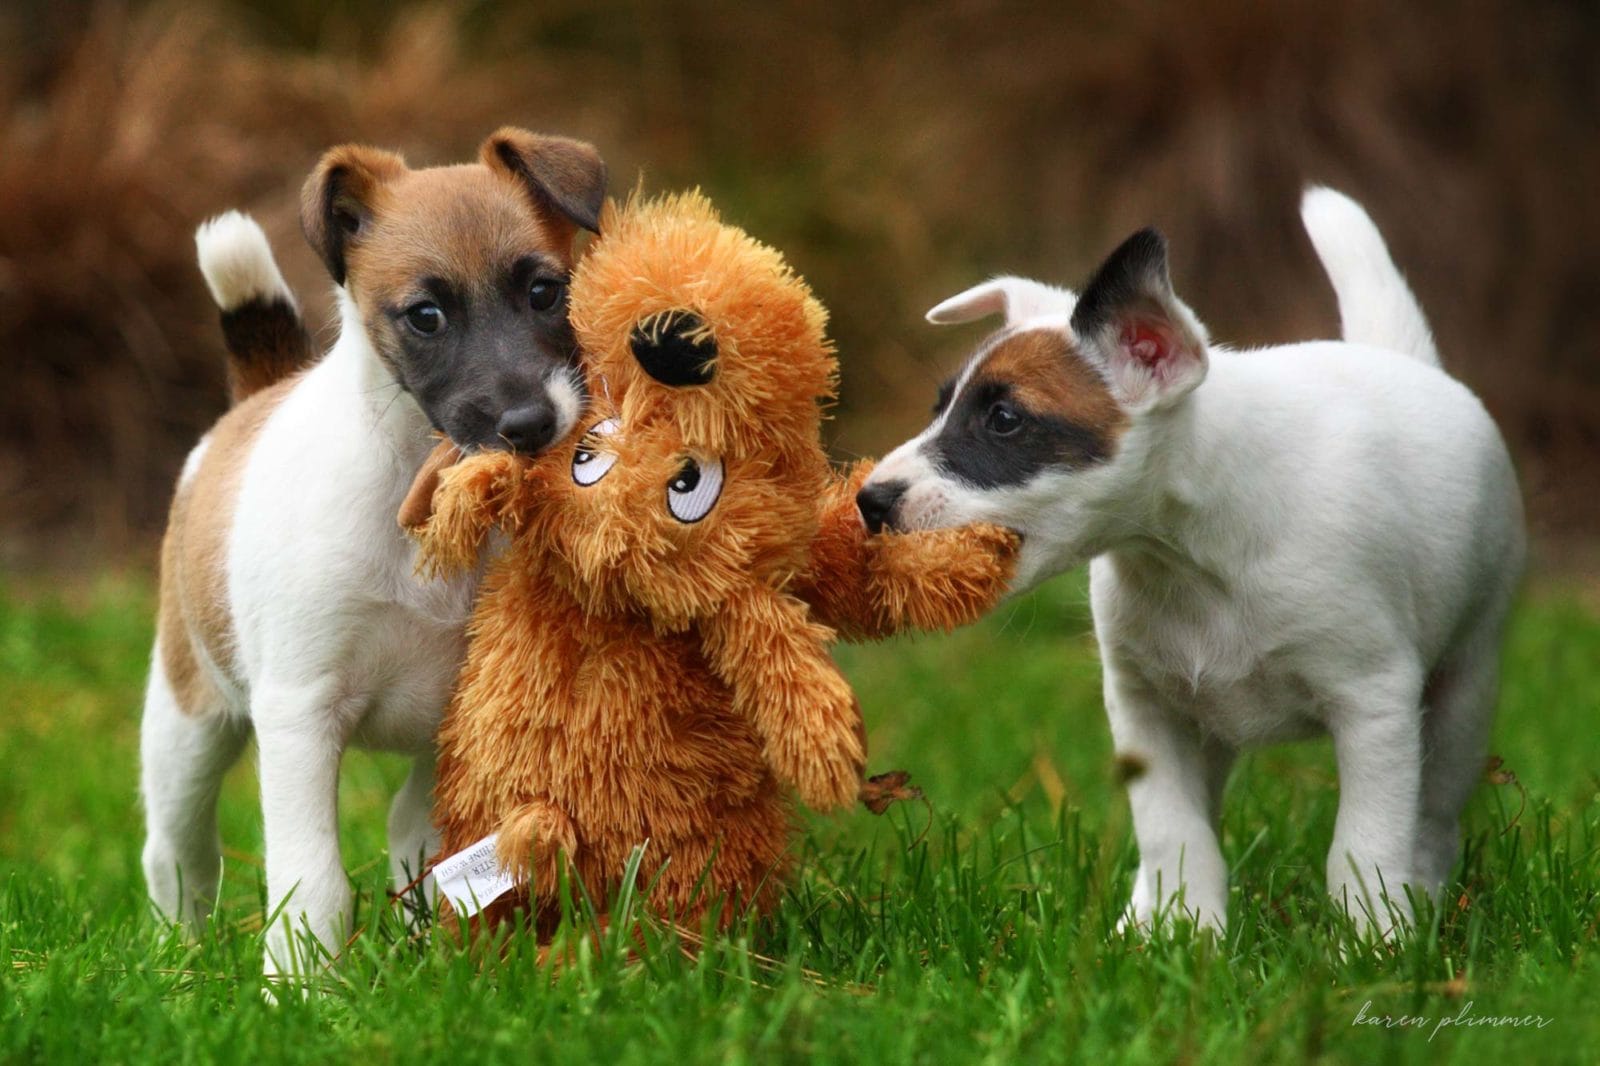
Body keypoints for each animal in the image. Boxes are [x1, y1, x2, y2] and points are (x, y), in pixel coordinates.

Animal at [142, 128, 604, 973]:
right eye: (425, 316)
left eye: (544, 292)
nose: (530, 425)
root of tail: (259, 395)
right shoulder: (300, 712)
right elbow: (312, 881)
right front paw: (299, 985)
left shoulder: (465, 711)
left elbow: (438, 847)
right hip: (190, 719)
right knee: (177, 848)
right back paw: (176, 955)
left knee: (406, 830)